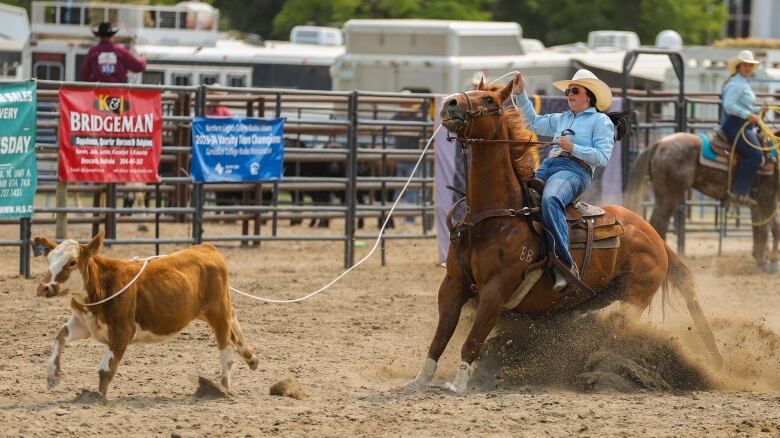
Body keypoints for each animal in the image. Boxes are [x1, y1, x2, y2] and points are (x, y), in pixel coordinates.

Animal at [34, 233, 258, 396]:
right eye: (49, 259)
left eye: (72, 262)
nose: (43, 287)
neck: (101, 285)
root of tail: (207, 248)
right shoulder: (83, 324)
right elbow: (61, 336)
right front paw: (52, 375)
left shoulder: (122, 330)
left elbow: (105, 368)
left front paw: (97, 396)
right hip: (212, 311)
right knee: (235, 330)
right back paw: (251, 359)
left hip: (217, 312)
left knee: (226, 348)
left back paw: (223, 388)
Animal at [406, 78, 724, 394]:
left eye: (488, 100)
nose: (450, 103)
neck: (496, 216)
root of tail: (655, 237)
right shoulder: (453, 284)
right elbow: (440, 336)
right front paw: (420, 380)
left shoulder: (495, 290)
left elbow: (472, 340)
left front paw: (459, 384)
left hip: (635, 298)